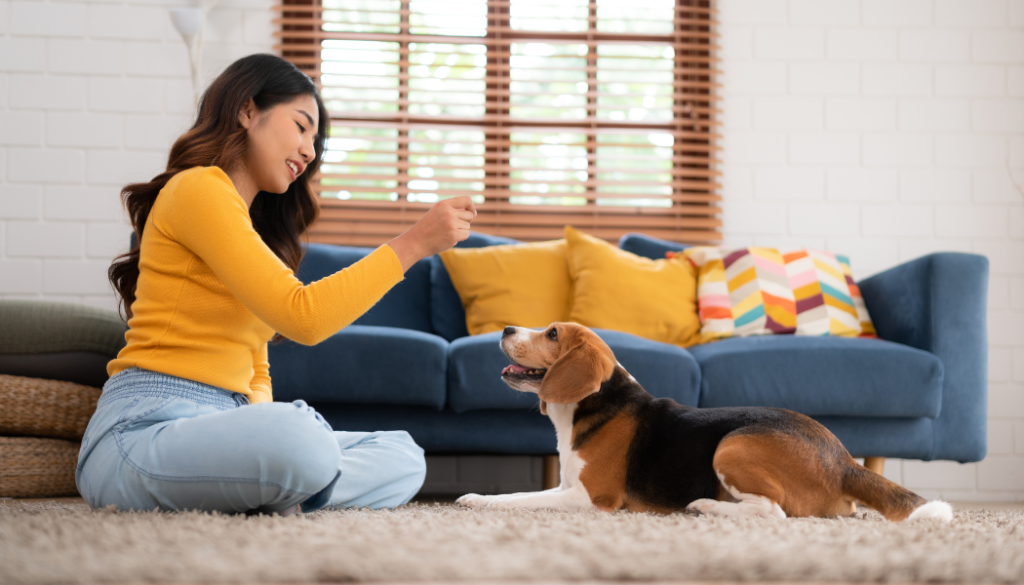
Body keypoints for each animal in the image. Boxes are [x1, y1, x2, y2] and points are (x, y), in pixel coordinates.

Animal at [456, 325, 950, 522]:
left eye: (553, 333)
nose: (506, 329)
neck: (588, 407)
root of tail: (843, 459)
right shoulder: (565, 487)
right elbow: (525, 494)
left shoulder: (591, 498)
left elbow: (519, 499)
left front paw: (481, 501)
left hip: (732, 445)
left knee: (773, 511)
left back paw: (706, 506)